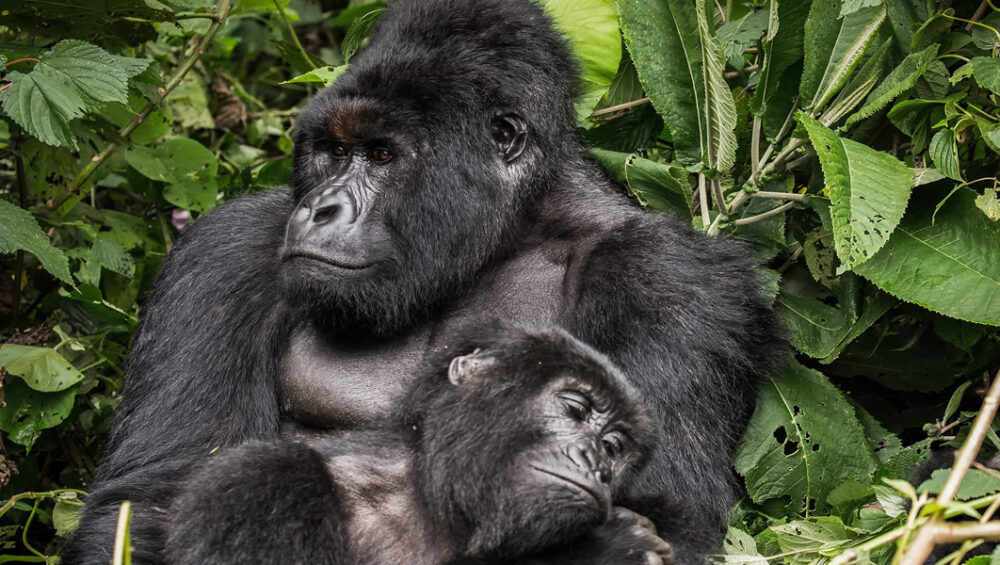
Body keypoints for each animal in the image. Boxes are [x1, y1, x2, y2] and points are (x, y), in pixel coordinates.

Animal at [168, 322, 676, 564]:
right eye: (575, 408)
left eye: (613, 447)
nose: (596, 464)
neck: (425, 494)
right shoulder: (261, 484)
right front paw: (604, 551)